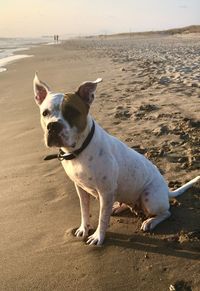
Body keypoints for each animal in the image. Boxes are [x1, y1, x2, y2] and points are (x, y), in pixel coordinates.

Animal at [33, 73, 199, 246]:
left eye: (72, 112)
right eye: (45, 113)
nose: (53, 126)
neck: (79, 150)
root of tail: (167, 190)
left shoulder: (105, 192)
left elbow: (102, 218)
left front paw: (98, 237)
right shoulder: (81, 189)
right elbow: (84, 211)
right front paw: (84, 228)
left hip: (150, 198)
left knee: (166, 212)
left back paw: (150, 222)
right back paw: (119, 206)